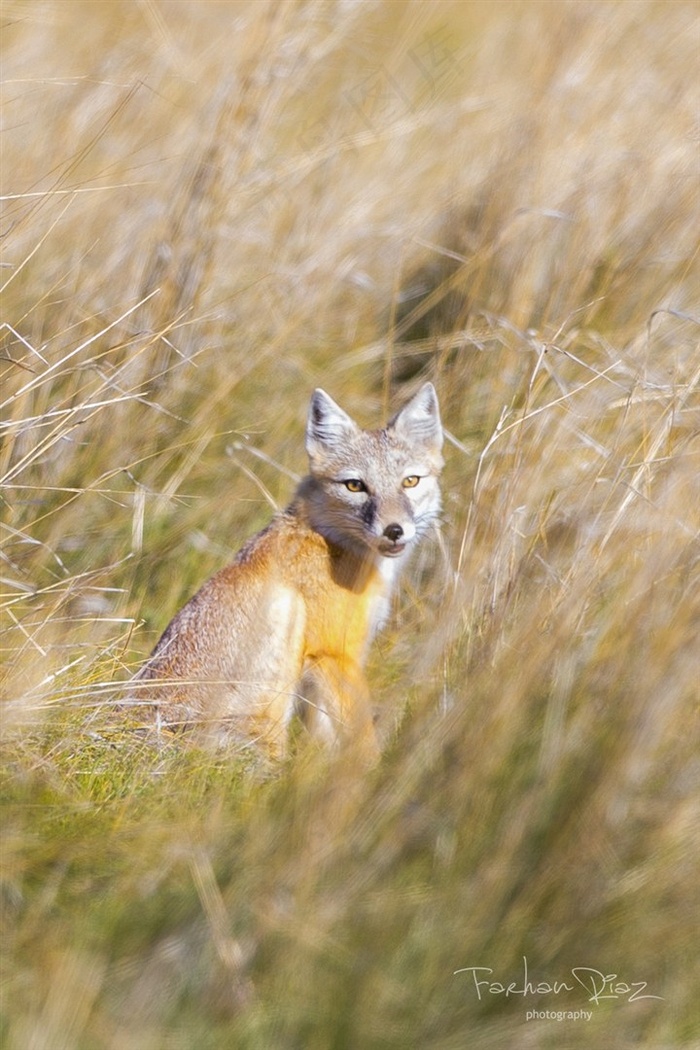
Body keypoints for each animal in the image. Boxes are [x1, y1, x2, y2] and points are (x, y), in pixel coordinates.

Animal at [131, 382, 442, 760]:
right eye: (355, 486)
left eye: (410, 481)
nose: (394, 530)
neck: (333, 541)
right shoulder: (336, 654)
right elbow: (363, 743)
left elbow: (324, 741)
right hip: (281, 636)